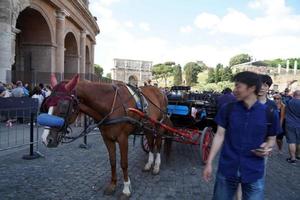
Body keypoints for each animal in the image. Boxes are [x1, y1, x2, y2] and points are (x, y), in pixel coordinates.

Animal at [39, 74, 171, 198]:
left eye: (64, 105)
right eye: (47, 104)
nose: (46, 139)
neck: (111, 105)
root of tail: (160, 91)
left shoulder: (123, 138)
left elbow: (124, 163)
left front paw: (126, 189)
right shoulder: (107, 138)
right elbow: (112, 161)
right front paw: (112, 185)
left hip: (160, 125)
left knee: (158, 144)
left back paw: (156, 166)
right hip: (147, 126)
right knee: (150, 142)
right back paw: (149, 164)